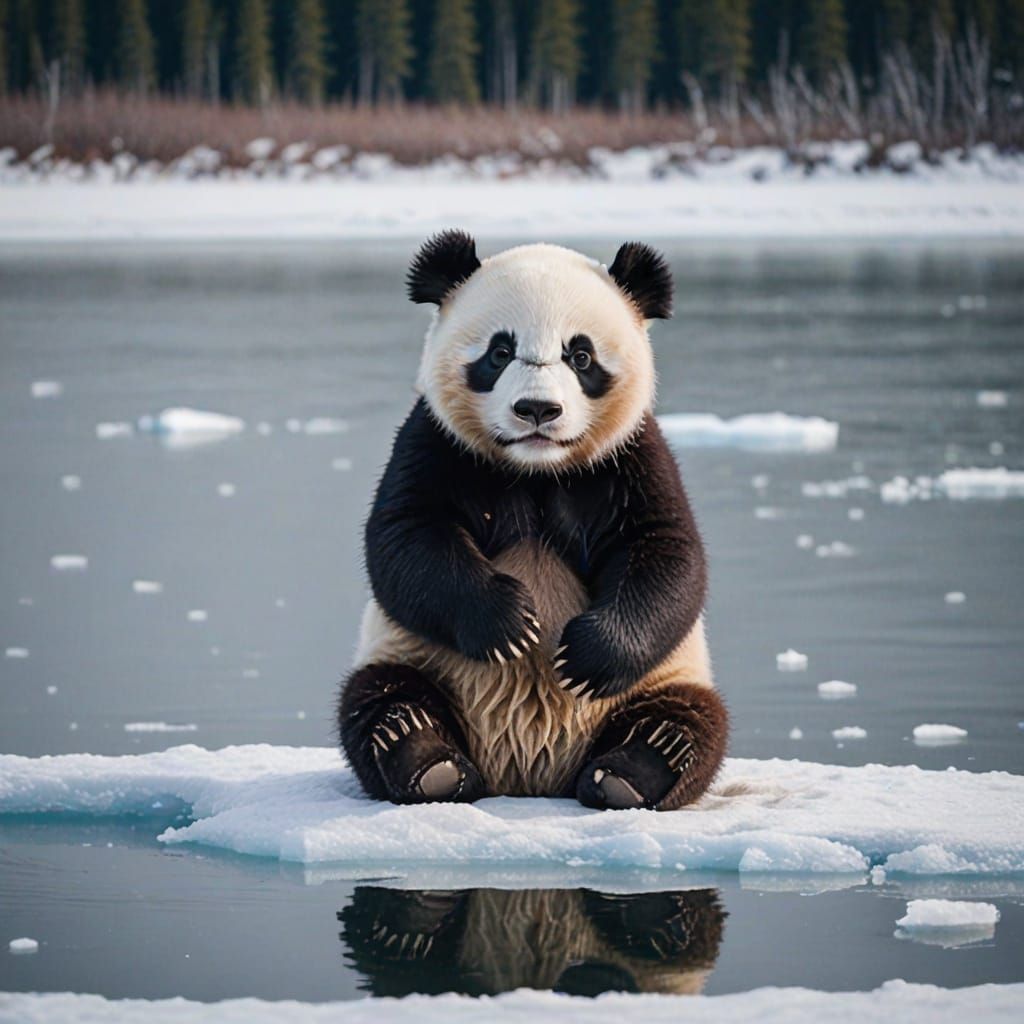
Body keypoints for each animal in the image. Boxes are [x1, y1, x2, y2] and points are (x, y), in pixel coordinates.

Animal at [338, 230, 727, 811]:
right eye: (500, 353)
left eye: (580, 355)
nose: (537, 409)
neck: (536, 469)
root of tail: (529, 775)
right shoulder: (435, 441)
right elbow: (404, 537)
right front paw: (509, 625)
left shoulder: (631, 455)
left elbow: (667, 551)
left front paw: (585, 658)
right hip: (414, 657)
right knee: (379, 698)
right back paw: (425, 759)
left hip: (664, 678)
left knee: (690, 718)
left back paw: (633, 768)